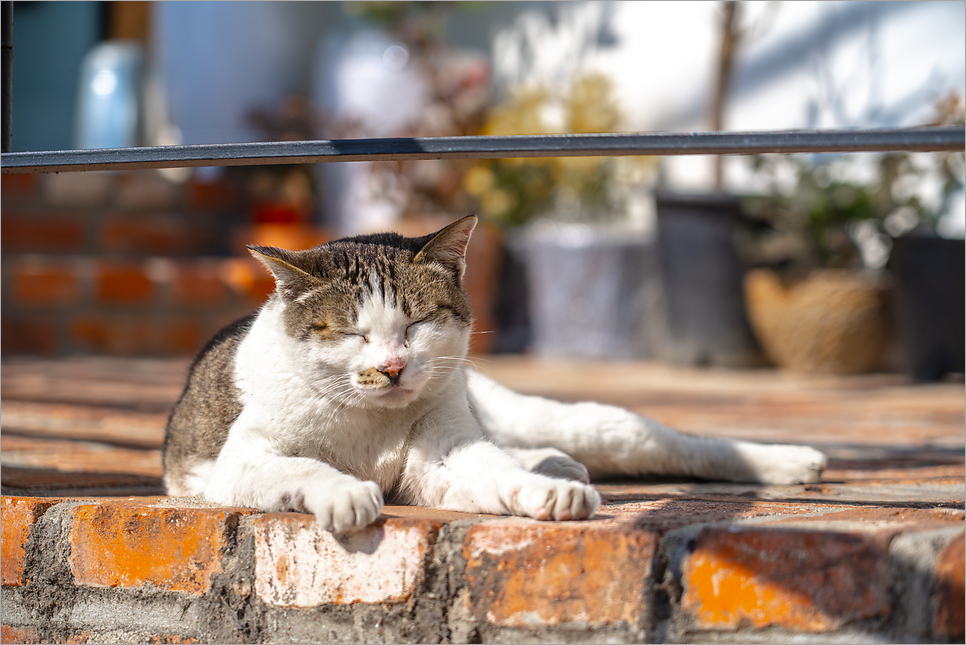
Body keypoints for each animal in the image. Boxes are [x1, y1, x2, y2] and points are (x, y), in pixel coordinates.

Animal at [163, 214, 828, 532]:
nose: (392, 367)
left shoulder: (444, 454)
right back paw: (555, 463)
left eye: (417, 323)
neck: (369, 424)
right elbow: (305, 467)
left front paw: (545, 495)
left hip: (568, 421)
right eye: (354, 333)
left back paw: (787, 460)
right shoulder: (240, 461)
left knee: (672, 442)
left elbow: (493, 472)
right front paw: (346, 492)